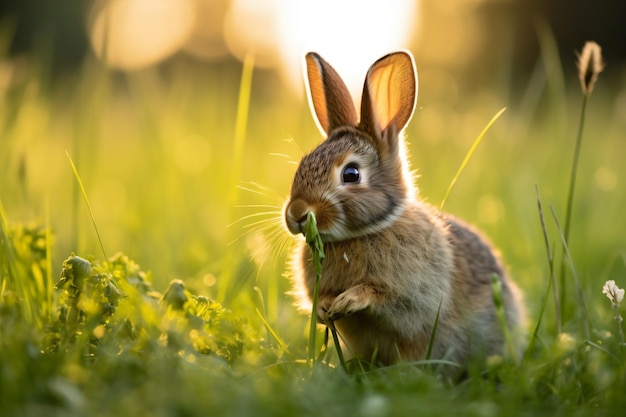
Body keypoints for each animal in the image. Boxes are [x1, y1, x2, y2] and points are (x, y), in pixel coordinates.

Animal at [282, 50, 520, 372]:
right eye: (301, 165)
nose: (296, 214)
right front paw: (325, 308)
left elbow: (384, 296)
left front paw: (349, 301)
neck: (362, 234)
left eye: (351, 174)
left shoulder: (413, 297)